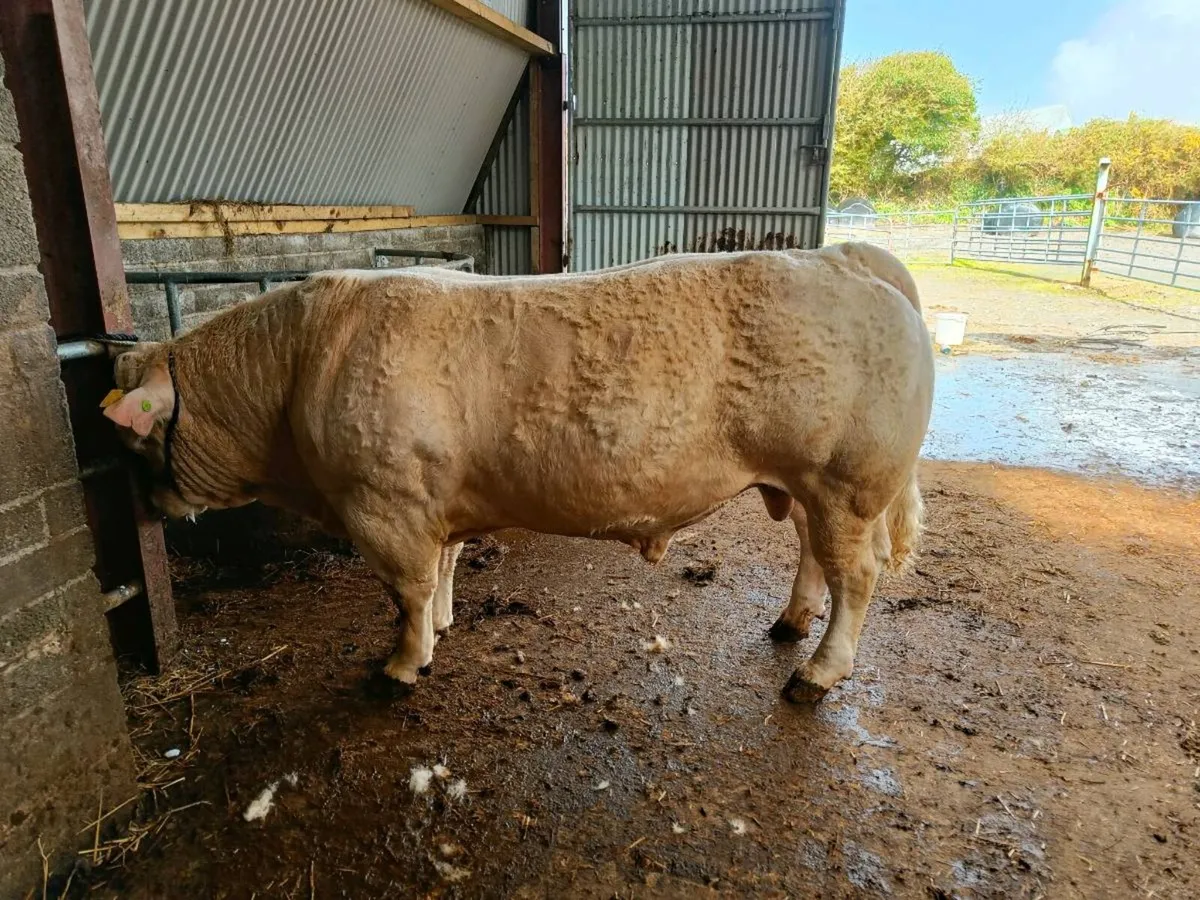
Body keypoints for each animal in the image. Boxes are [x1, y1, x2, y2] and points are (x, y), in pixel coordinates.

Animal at [102, 243, 933, 703]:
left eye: (140, 446)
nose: (145, 502)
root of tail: (843, 255)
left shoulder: (383, 505)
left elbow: (405, 591)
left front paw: (401, 664)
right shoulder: (429, 501)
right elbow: (442, 570)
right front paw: (441, 626)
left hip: (847, 480)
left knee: (857, 577)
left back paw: (817, 674)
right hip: (811, 486)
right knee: (815, 560)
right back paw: (790, 622)